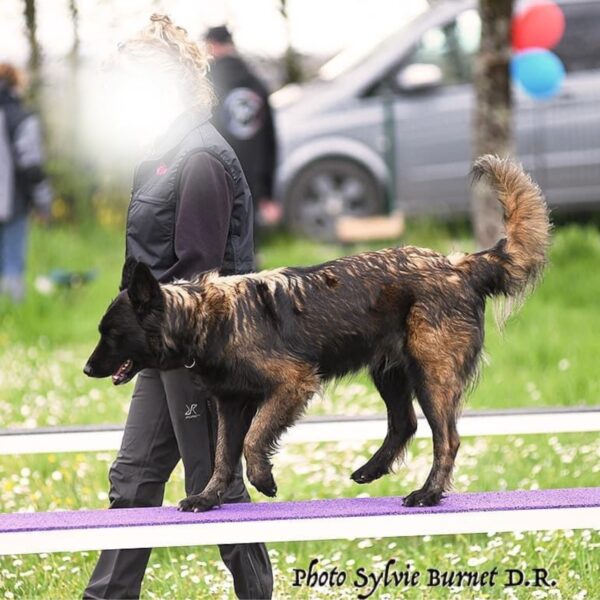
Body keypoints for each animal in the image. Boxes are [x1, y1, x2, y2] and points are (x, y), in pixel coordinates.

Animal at [85, 156, 552, 510]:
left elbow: (253, 440)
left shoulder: (292, 383)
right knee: (404, 424)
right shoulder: (232, 403)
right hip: (391, 372)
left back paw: (428, 493)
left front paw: (263, 478)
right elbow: (222, 456)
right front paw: (210, 496)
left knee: (447, 439)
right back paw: (372, 469)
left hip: (430, 373)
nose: (88, 369)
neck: (206, 317)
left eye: (111, 333)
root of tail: (459, 265)